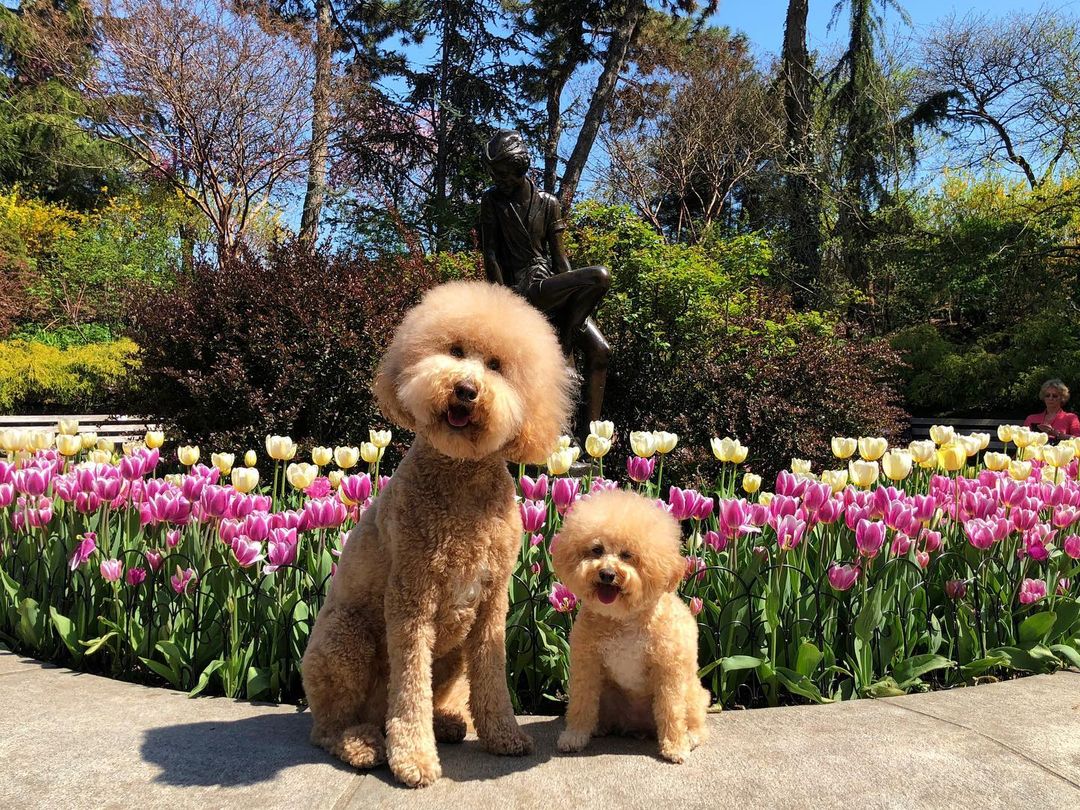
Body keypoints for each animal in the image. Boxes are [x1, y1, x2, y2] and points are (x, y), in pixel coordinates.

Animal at [302, 280, 575, 787]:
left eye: (496, 365)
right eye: (455, 350)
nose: (466, 389)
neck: (461, 477)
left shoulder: (491, 603)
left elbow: (491, 677)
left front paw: (504, 735)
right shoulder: (412, 597)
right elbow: (410, 684)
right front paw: (413, 758)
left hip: (448, 656)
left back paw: (445, 722)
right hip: (345, 639)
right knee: (330, 726)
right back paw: (364, 743)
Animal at [552, 488, 709, 763]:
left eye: (627, 554)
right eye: (596, 549)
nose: (607, 574)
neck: (624, 620)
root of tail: (638, 727)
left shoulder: (668, 671)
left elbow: (671, 710)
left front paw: (675, 747)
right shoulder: (587, 665)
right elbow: (581, 703)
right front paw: (575, 737)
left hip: (692, 692)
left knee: (696, 722)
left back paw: (691, 737)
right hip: (607, 694)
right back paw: (600, 727)